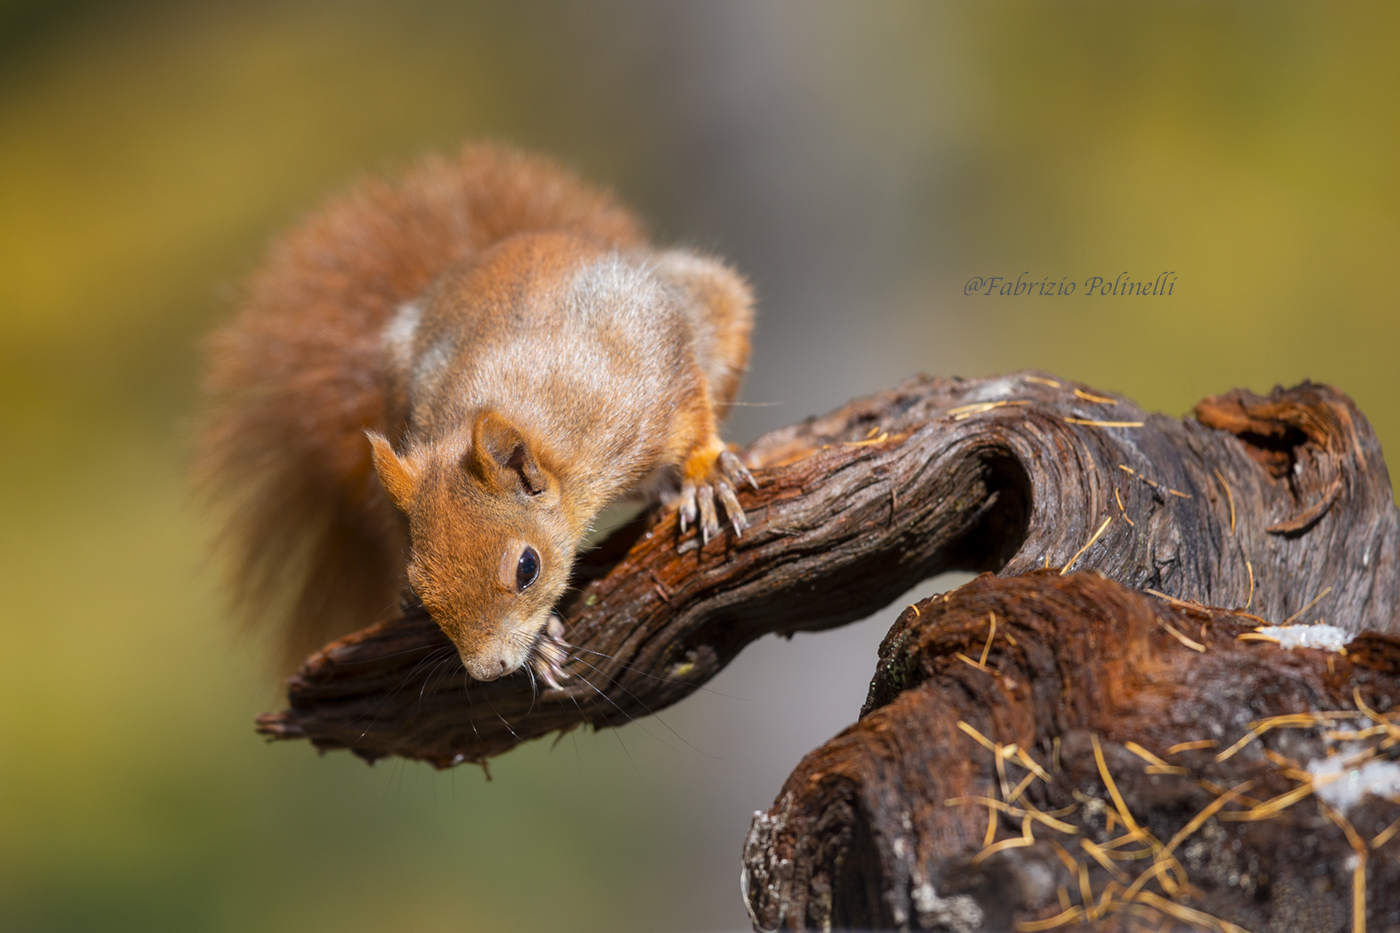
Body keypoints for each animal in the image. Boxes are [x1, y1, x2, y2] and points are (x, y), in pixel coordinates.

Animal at [195, 143, 756, 684]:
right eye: (420, 583)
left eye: (527, 568)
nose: (489, 670)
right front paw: (542, 643)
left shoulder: (647, 383)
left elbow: (692, 413)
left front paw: (705, 476)